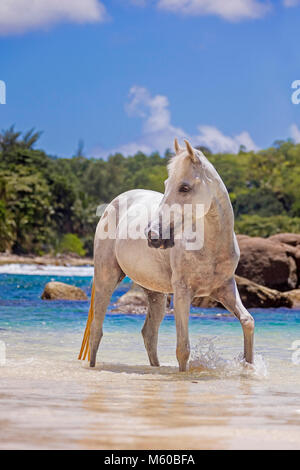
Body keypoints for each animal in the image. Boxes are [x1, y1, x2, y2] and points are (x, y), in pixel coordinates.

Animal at [88, 139, 254, 370]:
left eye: (184, 187)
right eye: (166, 185)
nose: (153, 236)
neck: (209, 247)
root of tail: (114, 203)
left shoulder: (225, 288)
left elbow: (248, 322)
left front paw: (250, 368)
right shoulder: (183, 293)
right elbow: (183, 349)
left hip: (156, 293)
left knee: (149, 334)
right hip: (106, 279)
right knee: (97, 330)